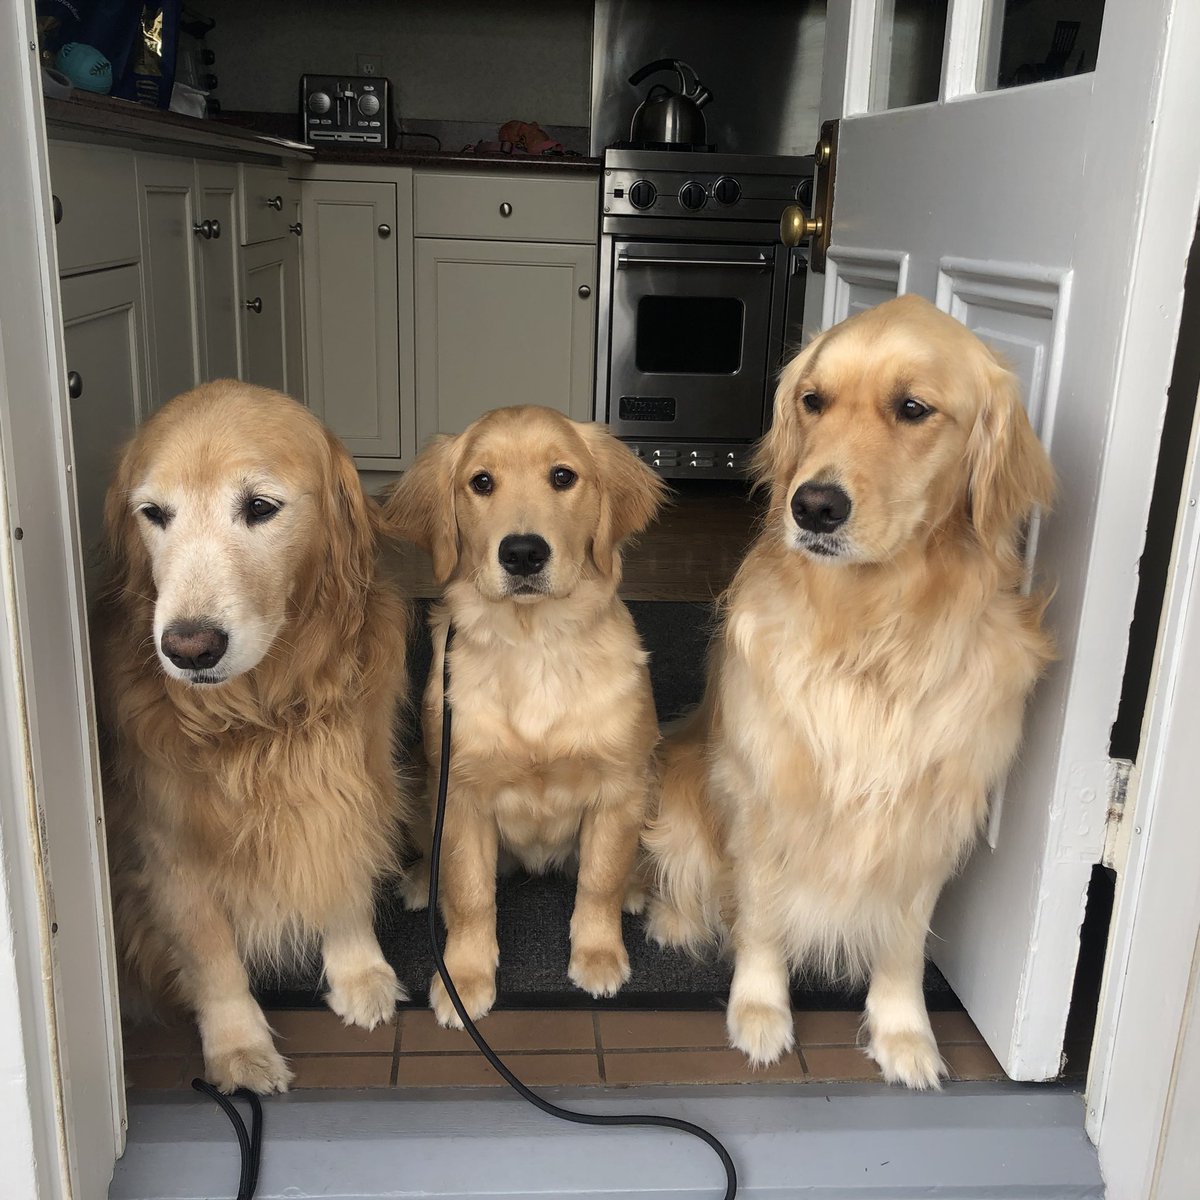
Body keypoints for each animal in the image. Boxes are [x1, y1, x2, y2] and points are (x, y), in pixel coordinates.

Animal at [94, 379, 412, 1094]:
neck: (261, 714)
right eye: (153, 513)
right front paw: (238, 1047)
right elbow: (212, 955)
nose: (188, 647)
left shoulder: (351, 775)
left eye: (260, 507)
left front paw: (359, 972)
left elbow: (341, 869)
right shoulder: (169, 839)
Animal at [384, 408, 667, 1027]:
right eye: (481, 482)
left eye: (563, 477)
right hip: (420, 782)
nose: (522, 553)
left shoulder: (619, 787)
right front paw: (464, 978)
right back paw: (419, 883)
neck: (535, 643)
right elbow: (469, 895)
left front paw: (598, 954)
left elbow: (600, 879)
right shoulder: (460, 794)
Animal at [648, 292, 1051, 1089]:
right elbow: (762, 915)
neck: (871, 631)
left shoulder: (929, 815)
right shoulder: (766, 790)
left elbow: (903, 941)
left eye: (913, 408)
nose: (813, 507)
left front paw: (904, 1033)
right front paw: (759, 1010)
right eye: (814, 401)